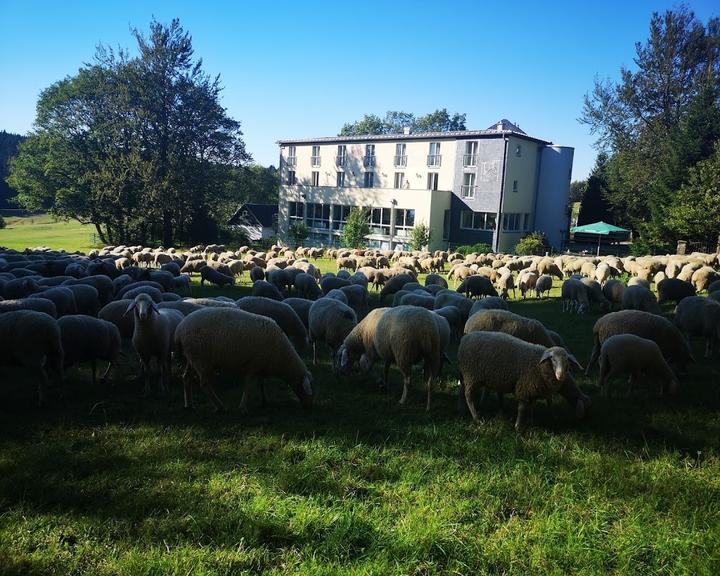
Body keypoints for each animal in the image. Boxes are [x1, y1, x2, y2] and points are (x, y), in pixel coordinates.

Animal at [174, 308, 312, 412]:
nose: (309, 406)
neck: (281, 356)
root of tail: (179, 329)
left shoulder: (260, 364)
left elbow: (261, 383)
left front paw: (265, 400)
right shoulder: (254, 364)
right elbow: (248, 386)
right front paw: (243, 406)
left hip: (192, 358)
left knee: (186, 378)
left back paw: (189, 405)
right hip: (201, 360)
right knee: (205, 384)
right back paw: (220, 406)